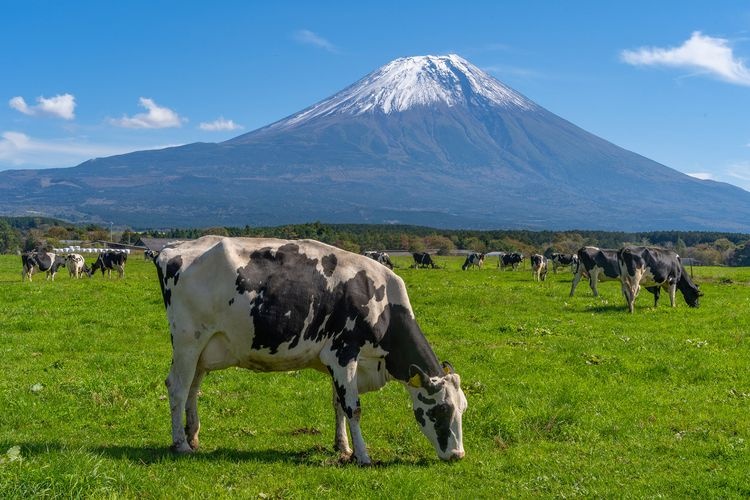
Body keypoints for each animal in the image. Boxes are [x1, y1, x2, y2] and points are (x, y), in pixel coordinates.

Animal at [156, 237, 468, 464]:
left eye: (463, 407)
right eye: (442, 409)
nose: (457, 455)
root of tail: (172, 249)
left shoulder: (338, 362)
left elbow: (338, 404)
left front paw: (342, 447)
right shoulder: (343, 354)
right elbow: (353, 408)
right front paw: (363, 456)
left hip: (203, 349)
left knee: (193, 388)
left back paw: (193, 436)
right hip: (188, 341)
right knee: (177, 387)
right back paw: (181, 444)